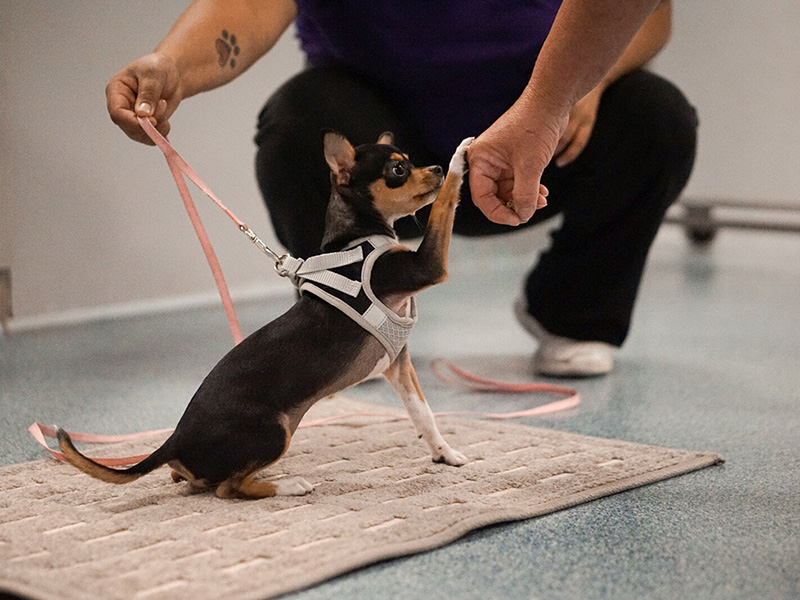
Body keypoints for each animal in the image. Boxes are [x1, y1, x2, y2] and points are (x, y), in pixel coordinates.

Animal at [59, 134, 472, 500]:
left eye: (410, 162)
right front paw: (460, 158)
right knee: (228, 488)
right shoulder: (428, 267)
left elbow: (423, 413)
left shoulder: (398, 365)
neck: (359, 238)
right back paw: (288, 485)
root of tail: (174, 439)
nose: (435, 167)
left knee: (192, 478)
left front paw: (444, 453)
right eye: (398, 169)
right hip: (274, 433)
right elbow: (443, 206)